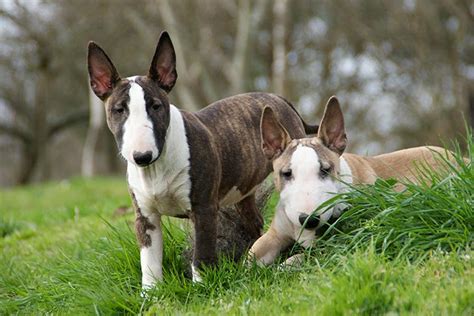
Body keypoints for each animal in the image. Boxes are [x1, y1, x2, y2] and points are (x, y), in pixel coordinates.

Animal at [87, 30, 316, 288]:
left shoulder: (204, 209)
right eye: (119, 110)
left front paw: (201, 289)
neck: (157, 168)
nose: (142, 156)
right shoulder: (145, 218)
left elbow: (202, 254)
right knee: (254, 221)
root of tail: (279, 98)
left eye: (156, 106)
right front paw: (151, 293)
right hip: (244, 190)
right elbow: (150, 262)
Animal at [248, 95, 452, 264]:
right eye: (287, 173)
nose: (309, 220)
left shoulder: (336, 242)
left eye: (326, 169)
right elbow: (250, 255)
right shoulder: (274, 235)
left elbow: (298, 258)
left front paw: (285, 265)